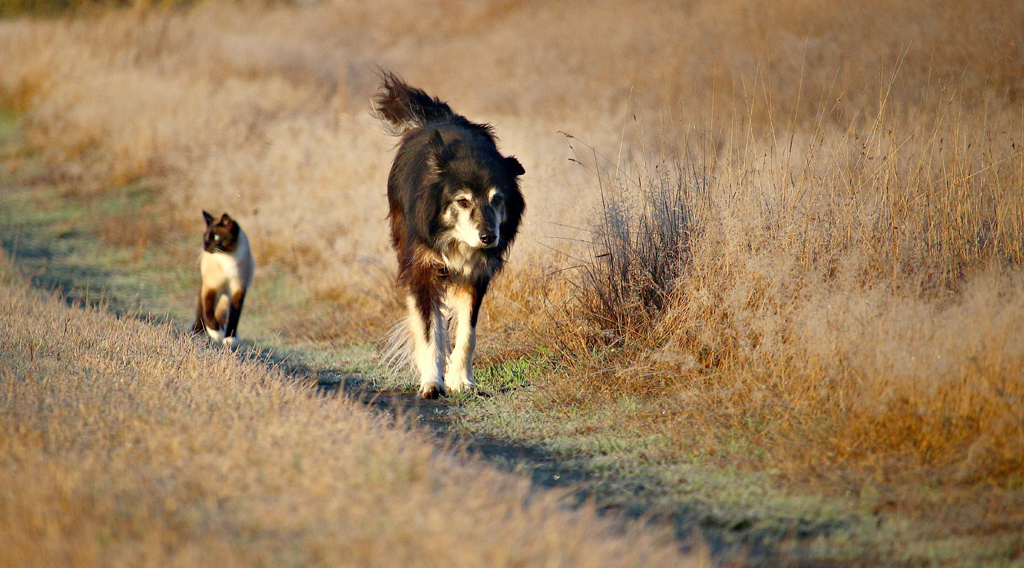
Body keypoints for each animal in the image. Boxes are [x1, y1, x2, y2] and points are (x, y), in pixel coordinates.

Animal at [192, 210, 256, 345]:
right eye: (205, 237)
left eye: (216, 237)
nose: (205, 246)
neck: (228, 258)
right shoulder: (211, 287)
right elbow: (208, 312)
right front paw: (216, 333)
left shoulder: (238, 290)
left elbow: (234, 316)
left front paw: (230, 338)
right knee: (202, 308)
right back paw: (199, 330)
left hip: (226, 297)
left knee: (222, 313)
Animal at [372, 72, 524, 399]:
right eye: (463, 201)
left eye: (497, 199)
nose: (488, 237)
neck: (456, 240)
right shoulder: (423, 265)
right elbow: (429, 328)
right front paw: (432, 383)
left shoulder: (475, 274)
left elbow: (467, 330)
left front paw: (462, 381)